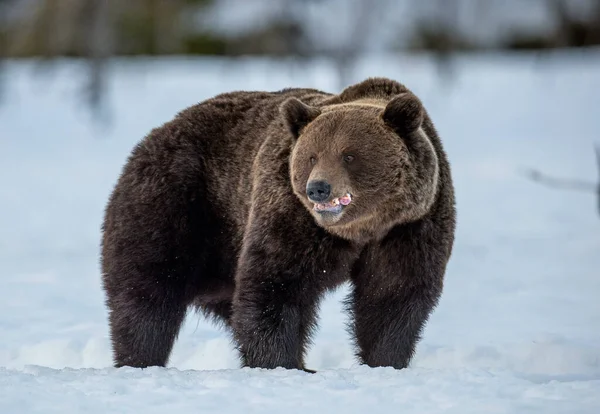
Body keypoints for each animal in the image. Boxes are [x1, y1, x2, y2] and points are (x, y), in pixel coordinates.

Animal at [101, 77, 454, 372]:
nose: (318, 188)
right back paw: (140, 359)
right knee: (148, 289)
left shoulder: (411, 226)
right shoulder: (291, 212)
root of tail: (156, 132)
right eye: (312, 156)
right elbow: (275, 284)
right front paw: (282, 364)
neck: (362, 229)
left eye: (349, 155)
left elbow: (393, 293)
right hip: (179, 203)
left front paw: (384, 361)